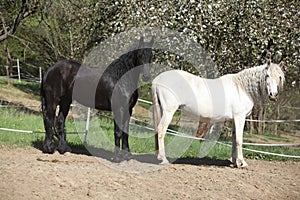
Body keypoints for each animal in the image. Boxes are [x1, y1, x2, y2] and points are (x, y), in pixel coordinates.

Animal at [154, 60, 284, 166]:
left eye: (279, 77)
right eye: (267, 75)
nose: (273, 95)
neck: (242, 88)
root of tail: (157, 80)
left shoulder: (234, 120)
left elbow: (233, 139)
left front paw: (234, 162)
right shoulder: (240, 118)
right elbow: (239, 139)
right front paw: (242, 162)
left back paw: (159, 157)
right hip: (168, 112)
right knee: (161, 130)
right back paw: (164, 159)